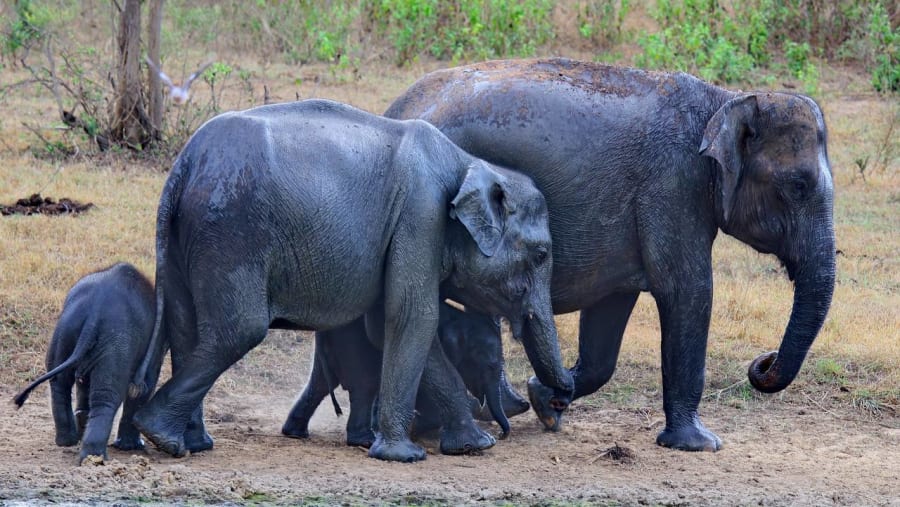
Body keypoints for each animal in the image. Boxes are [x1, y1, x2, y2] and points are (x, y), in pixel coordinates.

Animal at [13, 263, 163, 463]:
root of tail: (95, 313)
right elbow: (144, 385)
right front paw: (133, 447)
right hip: (115, 341)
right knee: (105, 397)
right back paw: (95, 458)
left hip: (65, 328)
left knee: (60, 385)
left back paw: (67, 441)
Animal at [281, 301, 530, 448]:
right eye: (489, 365)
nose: (502, 436)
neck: (457, 318)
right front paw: (418, 427)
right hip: (351, 343)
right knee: (363, 386)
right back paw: (366, 439)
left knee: (321, 384)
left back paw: (295, 432)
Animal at [383, 58, 836, 451]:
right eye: (798, 186)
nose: (762, 362)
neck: (726, 100)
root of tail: (396, 108)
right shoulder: (673, 187)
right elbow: (688, 291)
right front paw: (700, 444)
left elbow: (609, 313)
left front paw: (547, 404)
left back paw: (503, 407)